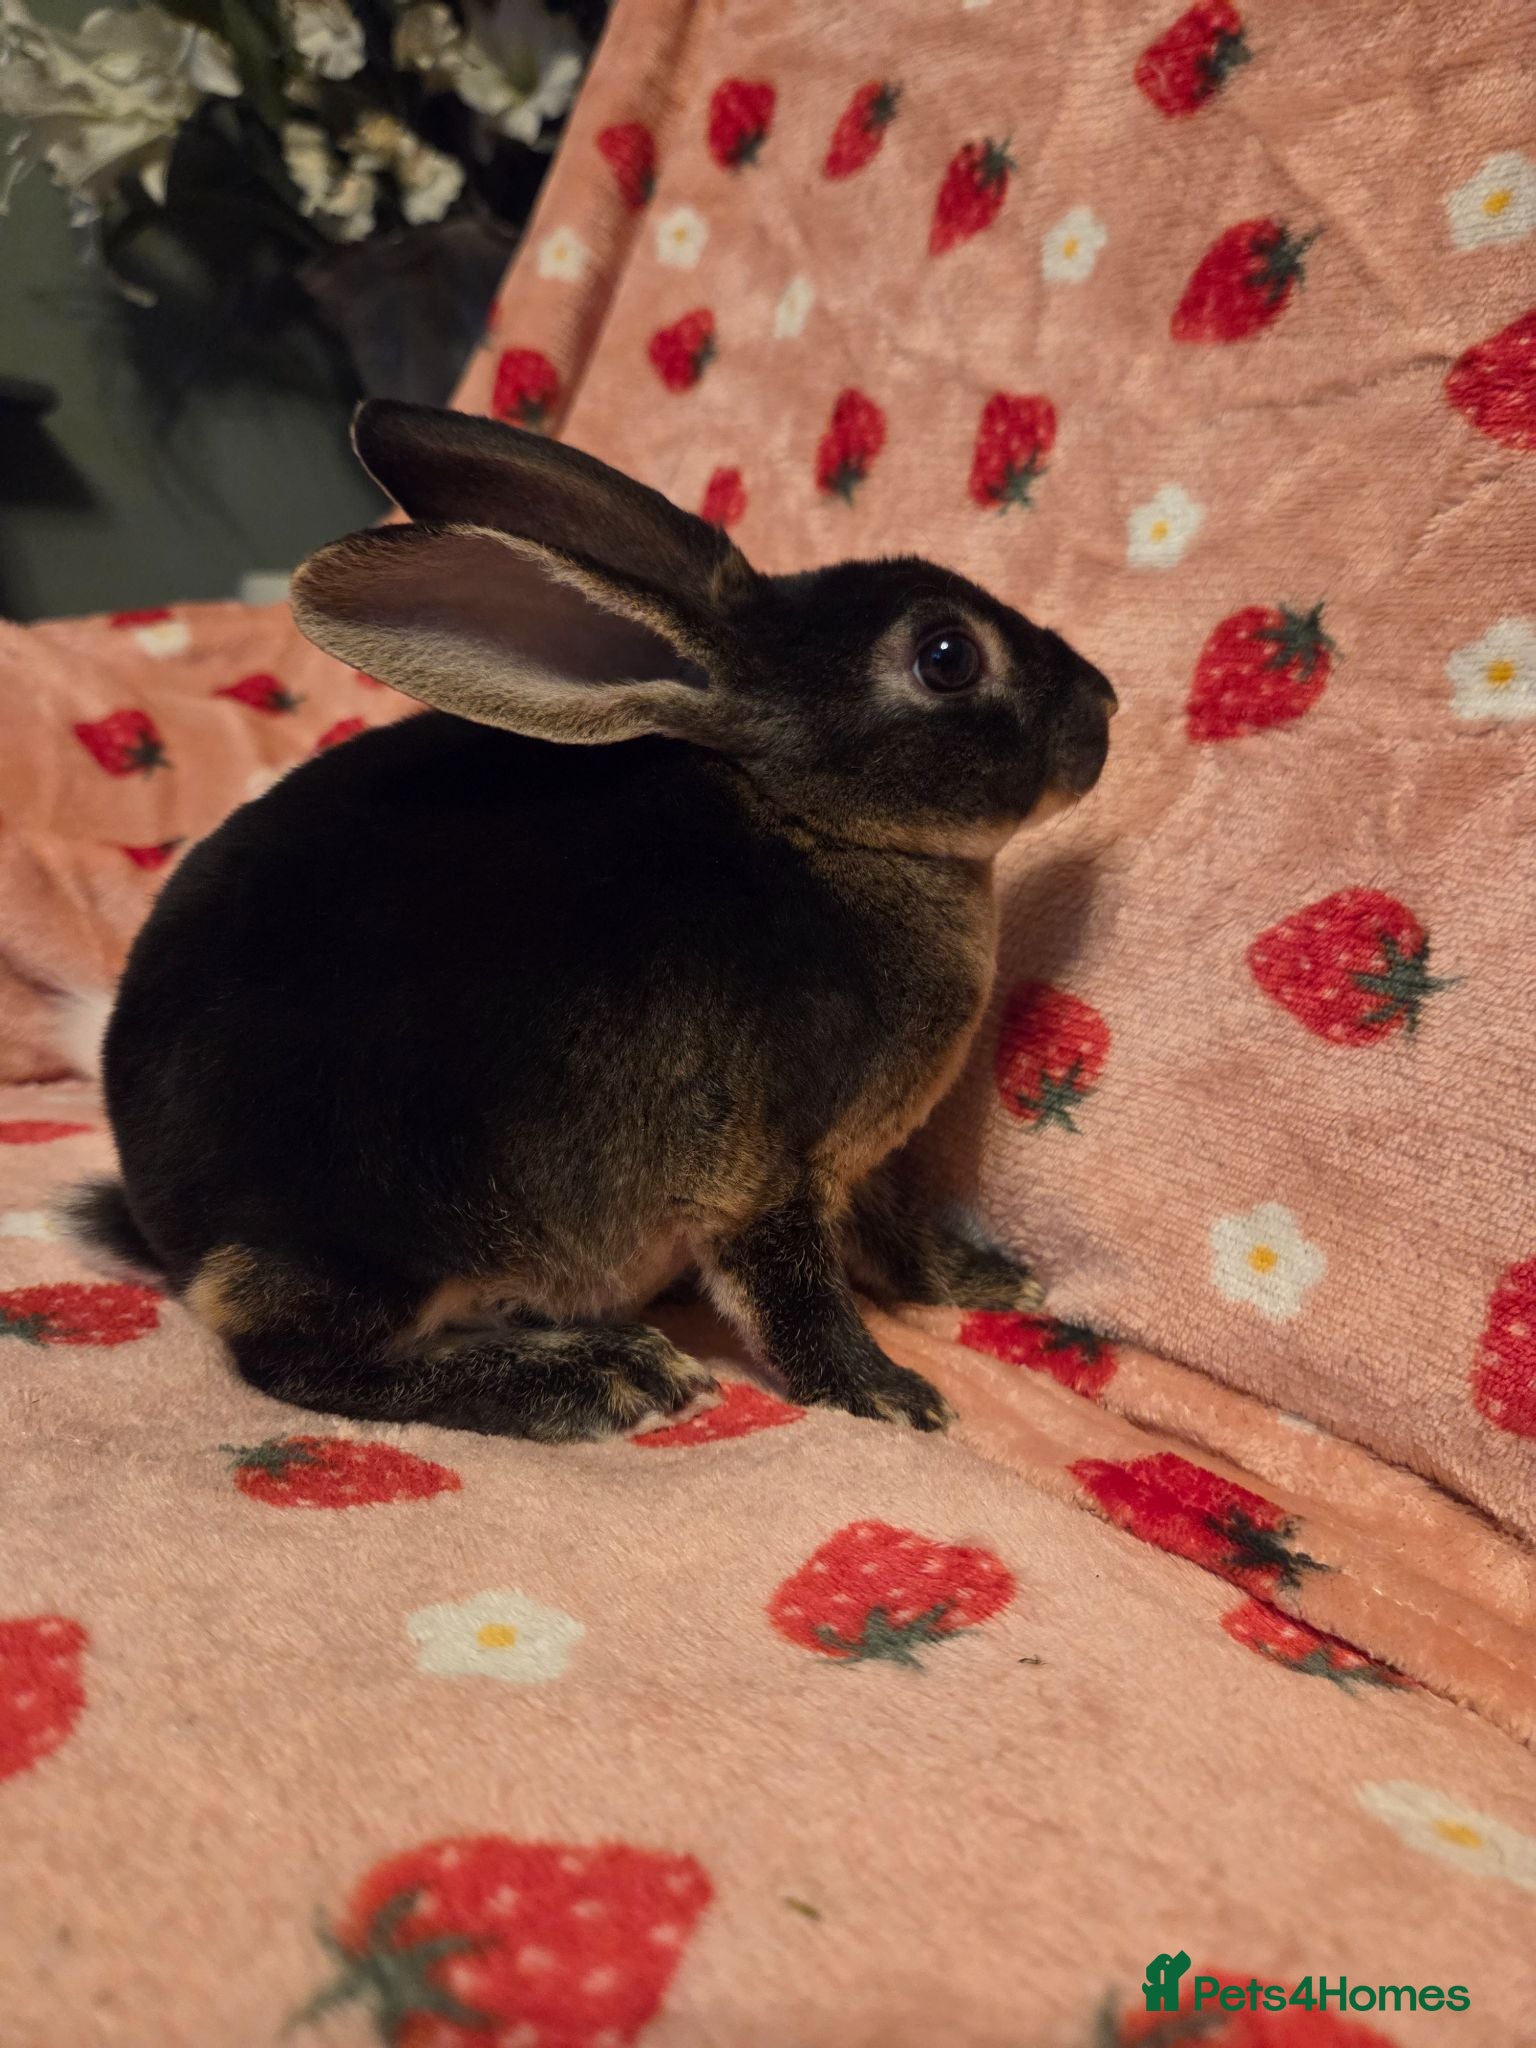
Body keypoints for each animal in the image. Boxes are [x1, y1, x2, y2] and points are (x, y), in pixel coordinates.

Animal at [67, 400, 1115, 1443]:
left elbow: (895, 1237)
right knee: (291, 1360)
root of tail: (165, 1226)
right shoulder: (764, 1168)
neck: (814, 823)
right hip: (372, 1232)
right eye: (947, 657)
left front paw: (994, 1280)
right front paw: (891, 1396)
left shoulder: (857, 1165)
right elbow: (798, 1294)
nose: (1105, 702)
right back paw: (607, 1376)